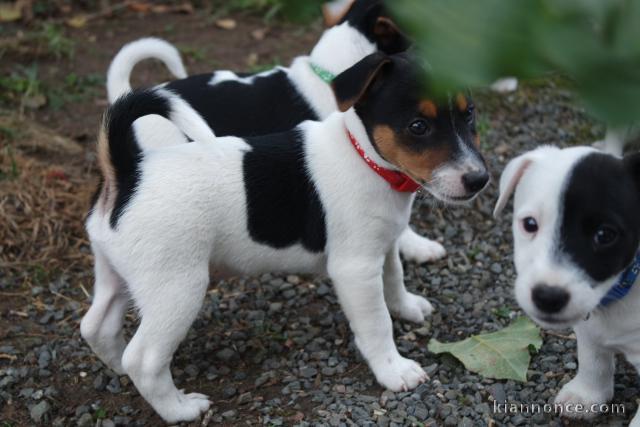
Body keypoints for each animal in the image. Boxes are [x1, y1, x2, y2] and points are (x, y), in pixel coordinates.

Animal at [81, 51, 490, 422]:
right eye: (418, 126)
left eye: (469, 113)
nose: (479, 179)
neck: (366, 159)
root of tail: (127, 172)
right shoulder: (355, 269)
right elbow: (377, 324)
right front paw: (394, 370)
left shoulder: (383, 244)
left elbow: (395, 278)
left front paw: (406, 307)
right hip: (176, 287)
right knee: (145, 359)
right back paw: (179, 408)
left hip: (119, 273)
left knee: (96, 326)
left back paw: (118, 367)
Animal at [496, 145, 640, 426]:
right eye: (530, 224)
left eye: (605, 235)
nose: (547, 296)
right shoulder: (589, 329)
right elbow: (593, 359)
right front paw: (586, 395)